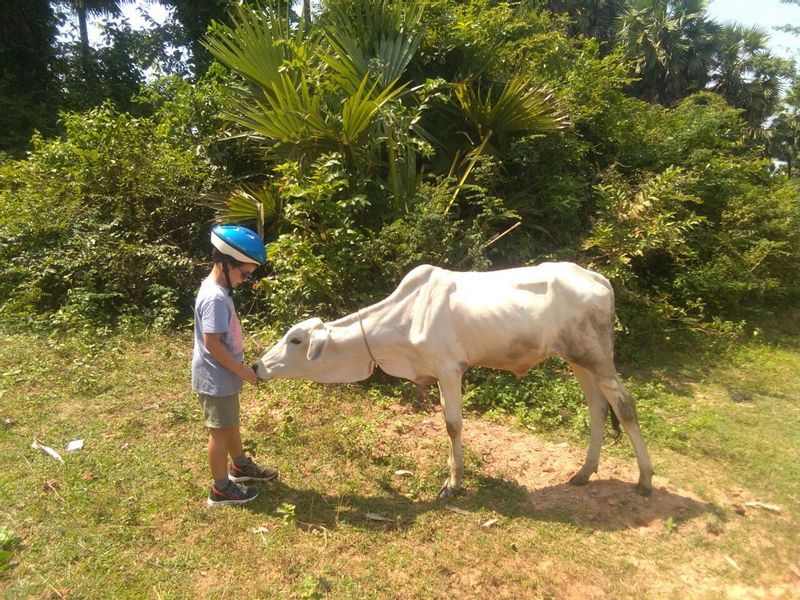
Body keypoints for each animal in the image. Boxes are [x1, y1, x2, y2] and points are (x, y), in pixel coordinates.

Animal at [256, 264, 656, 496]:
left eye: (295, 340)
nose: (259, 366)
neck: (405, 316)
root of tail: (600, 280)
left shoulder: (450, 370)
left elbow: (452, 425)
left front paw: (454, 483)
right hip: (578, 361)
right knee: (597, 409)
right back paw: (584, 473)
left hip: (599, 358)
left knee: (624, 405)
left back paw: (645, 479)